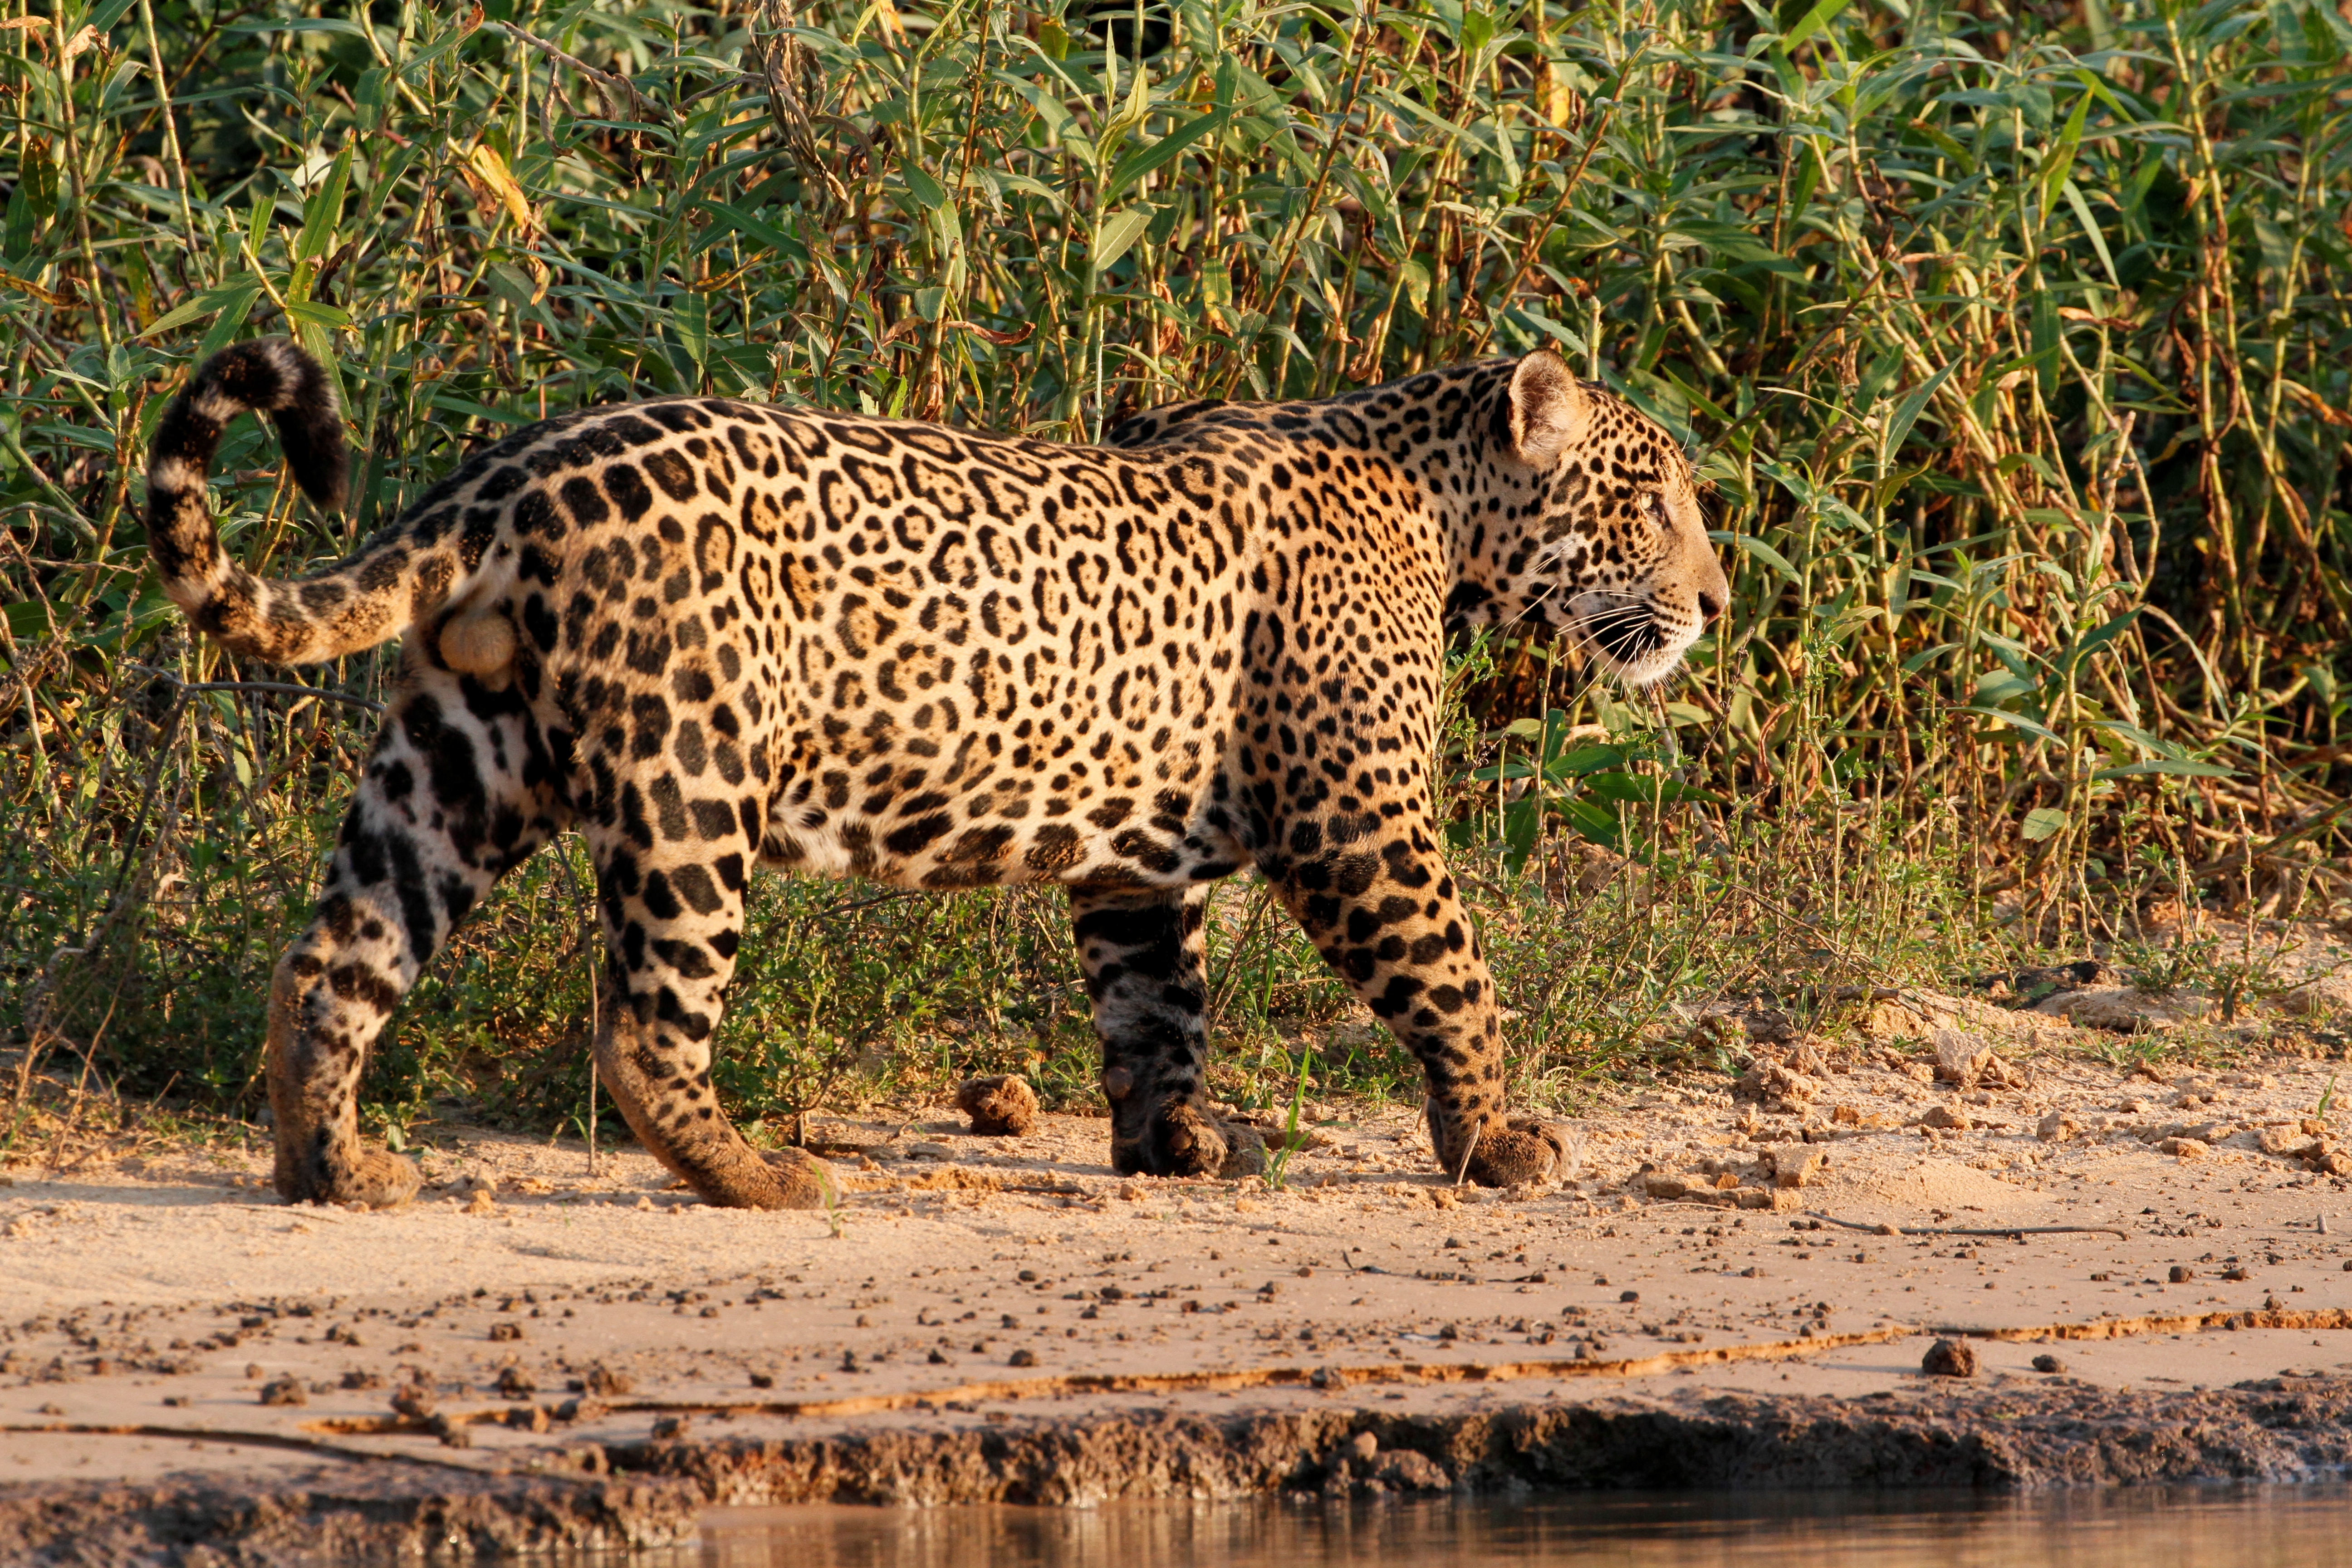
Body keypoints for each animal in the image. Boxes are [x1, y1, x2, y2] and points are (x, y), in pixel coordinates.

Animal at [143, 339, 1730, 1211]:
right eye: (1652, 502)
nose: (1716, 604)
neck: (1441, 509)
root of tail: (507, 472)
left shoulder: (1134, 858)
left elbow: (1154, 1003)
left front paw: (1171, 1144)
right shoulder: (1363, 820)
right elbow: (1455, 975)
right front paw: (1498, 1139)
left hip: (459, 759)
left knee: (336, 956)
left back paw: (332, 1170)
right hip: (693, 782)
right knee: (644, 1028)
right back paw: (764, 1179)